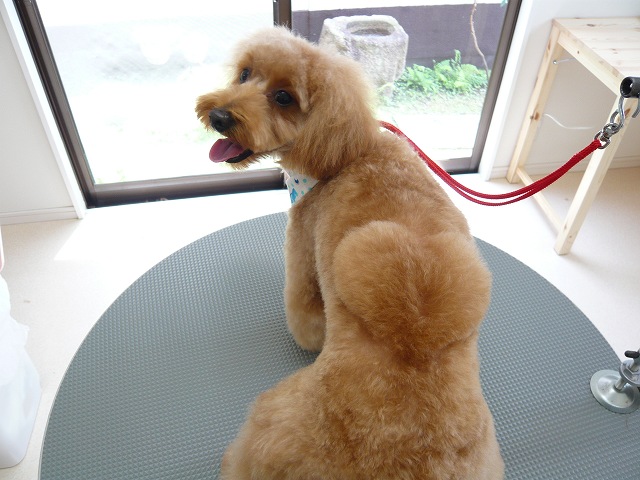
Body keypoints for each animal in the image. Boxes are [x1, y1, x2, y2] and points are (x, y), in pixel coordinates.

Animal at [196, 27, 504, 480]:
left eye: (284, 97)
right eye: (245, 73)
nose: (219, 117)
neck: (348, 153)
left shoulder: (303, 239)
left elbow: (305, 307)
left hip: (272, 421)